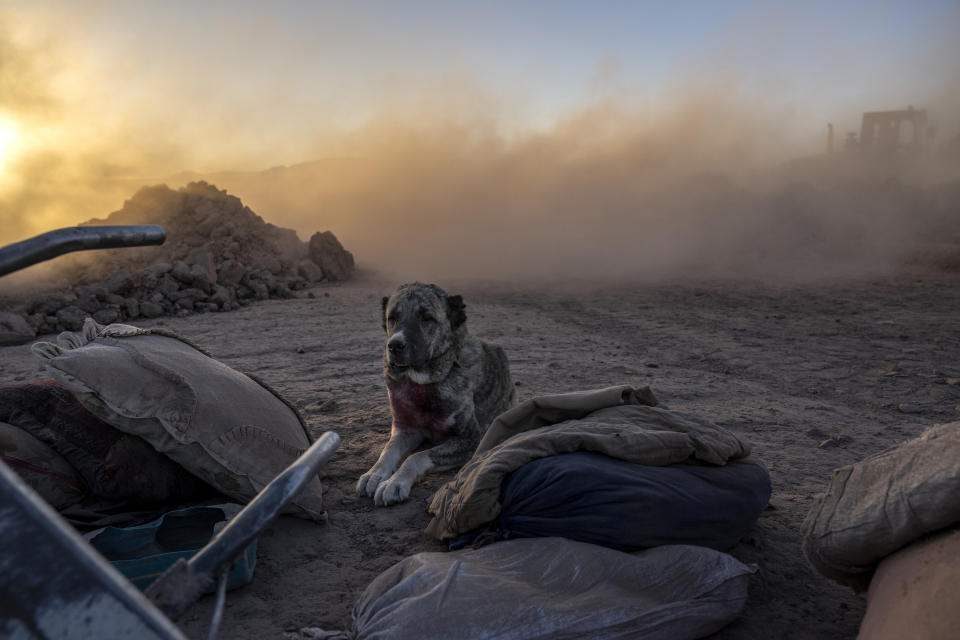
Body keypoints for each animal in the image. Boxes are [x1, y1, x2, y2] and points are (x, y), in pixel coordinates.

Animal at [354, 282, 516, 508]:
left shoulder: (473, 439)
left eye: (427, 318)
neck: (422, 384)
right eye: (392, 317)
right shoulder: (406, 428)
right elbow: (388, 450)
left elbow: (417, 457)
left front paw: (394, 483)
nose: (394, 345)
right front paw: (374, 474)